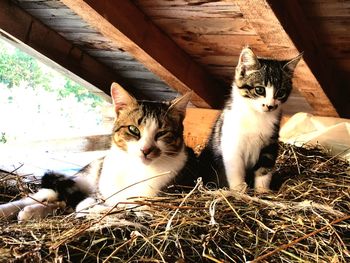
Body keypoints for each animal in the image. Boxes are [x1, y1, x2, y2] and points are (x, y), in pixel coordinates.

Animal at [0, 82, 197, 221]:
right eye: (133, 129)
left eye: (162, 133)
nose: (146, 150)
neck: (134, 169)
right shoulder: (101, 191)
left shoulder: (156, 203)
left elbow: (122, 207)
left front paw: (93, 208)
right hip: (85, 177)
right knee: (44, 195)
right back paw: (11, 210)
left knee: (61, 201)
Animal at [198, 46, 302, 193]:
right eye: (259, 90)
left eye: (281, 93)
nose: (270, 106)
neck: (257, 115)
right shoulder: (231, 145)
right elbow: (235, 170)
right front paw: (239, 190)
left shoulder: (270, 144)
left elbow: (264, 169)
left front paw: (262, 191)